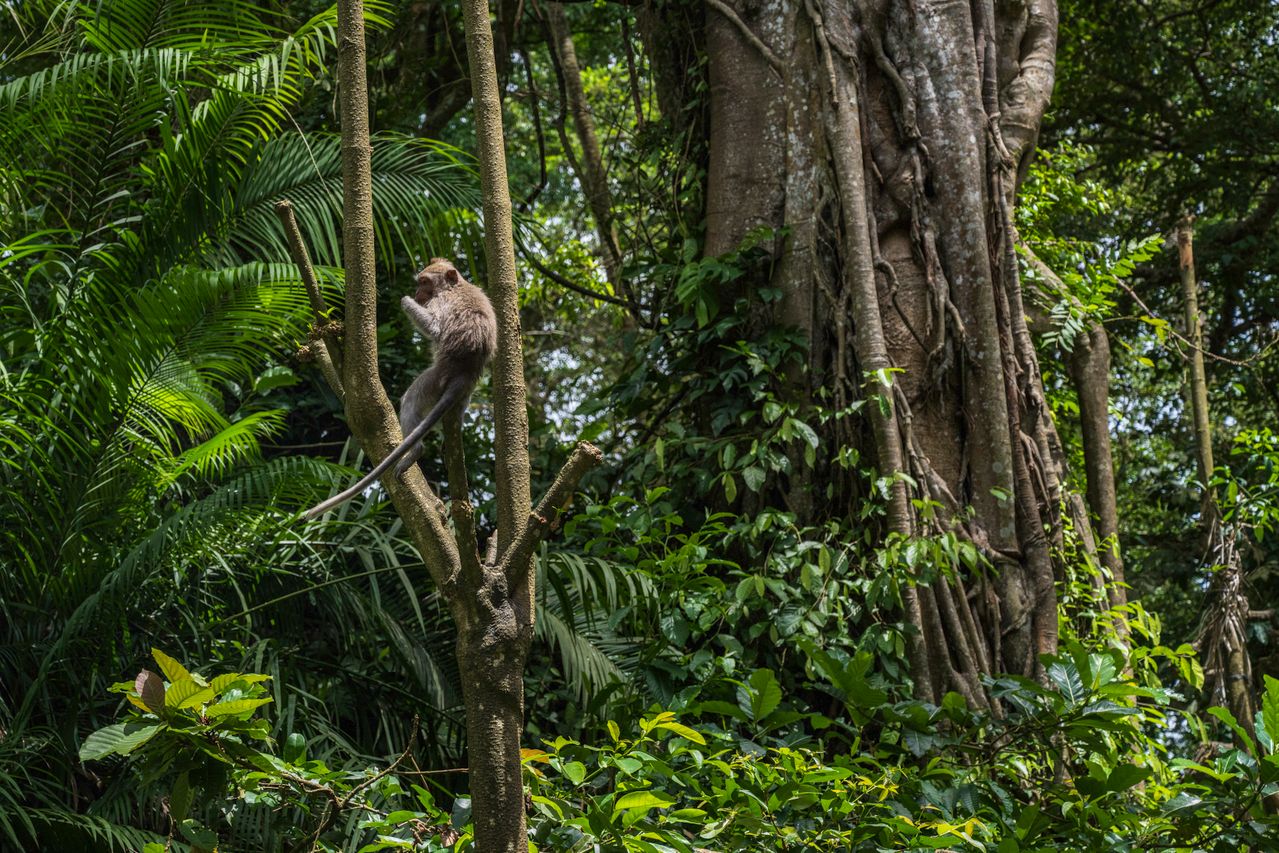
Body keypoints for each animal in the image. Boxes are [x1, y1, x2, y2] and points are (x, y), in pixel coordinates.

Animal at [303, 259, 496, 520]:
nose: (417, 293)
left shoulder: (441, 301)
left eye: (424, 282)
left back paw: (415, 451)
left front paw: (404, 300)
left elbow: (435, 328)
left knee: (411, 400)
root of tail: (465, 371)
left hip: (435, 379)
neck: (454, 287)